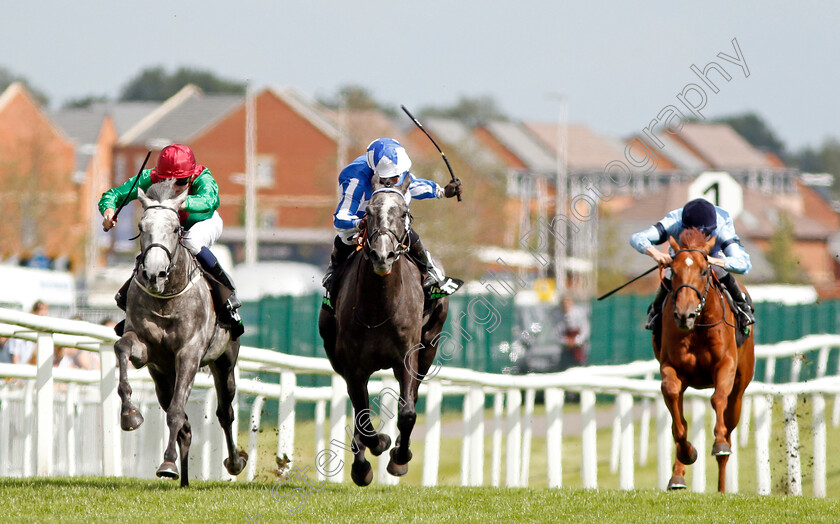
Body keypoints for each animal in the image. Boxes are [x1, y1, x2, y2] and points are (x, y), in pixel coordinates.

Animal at [115, 180, 248, 488]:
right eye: (141, 226)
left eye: (176, 228)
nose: (154, 273)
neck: (167, 298)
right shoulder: (146, 350)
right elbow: (122, 348)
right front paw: (130, 414)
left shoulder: (189, 353)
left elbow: (177, 412)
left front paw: (166, 462)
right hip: (162, 377)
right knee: (185, 425)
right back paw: (184, 477)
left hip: (225, 361)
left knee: (225, 413)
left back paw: (234, 462)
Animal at [316, 177, 450, 488]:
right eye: (368, 213)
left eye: (403, 213)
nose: (382, 255)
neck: (379, 307)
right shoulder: (353, 367)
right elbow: (363, 420)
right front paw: (372, 452)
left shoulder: (407, 359)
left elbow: (408, 412)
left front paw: (400, 457)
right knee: (358, 413)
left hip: (428, 349)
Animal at [656, 229, 756, 492]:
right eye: (673, 271)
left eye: (703, 271)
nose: (684, 315)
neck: (698, 326)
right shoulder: (671, 368)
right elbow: (677, 418)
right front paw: (687, 452)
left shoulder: (726, 365)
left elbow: (717, 398)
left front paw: (719, 443)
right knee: (677, 418)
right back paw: (677, 476)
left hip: (740, 390)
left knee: (729, 427)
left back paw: (721, 485)